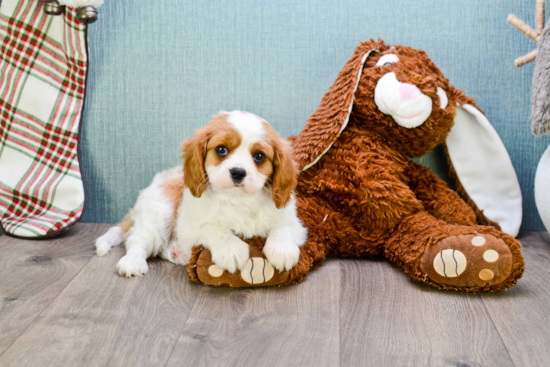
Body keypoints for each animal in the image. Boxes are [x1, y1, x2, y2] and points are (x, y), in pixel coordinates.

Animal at [96, 110, 308, 278]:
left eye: (259, 156)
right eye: (221, 149)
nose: (238, 172)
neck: (237, 199)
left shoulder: (294, 223)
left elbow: (282, 228)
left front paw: (282, 249)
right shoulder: (190, 226)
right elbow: (213, 227)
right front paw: (231, 249)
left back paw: (178, 254)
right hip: (158, 212)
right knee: (137, 240)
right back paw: (132, 262)